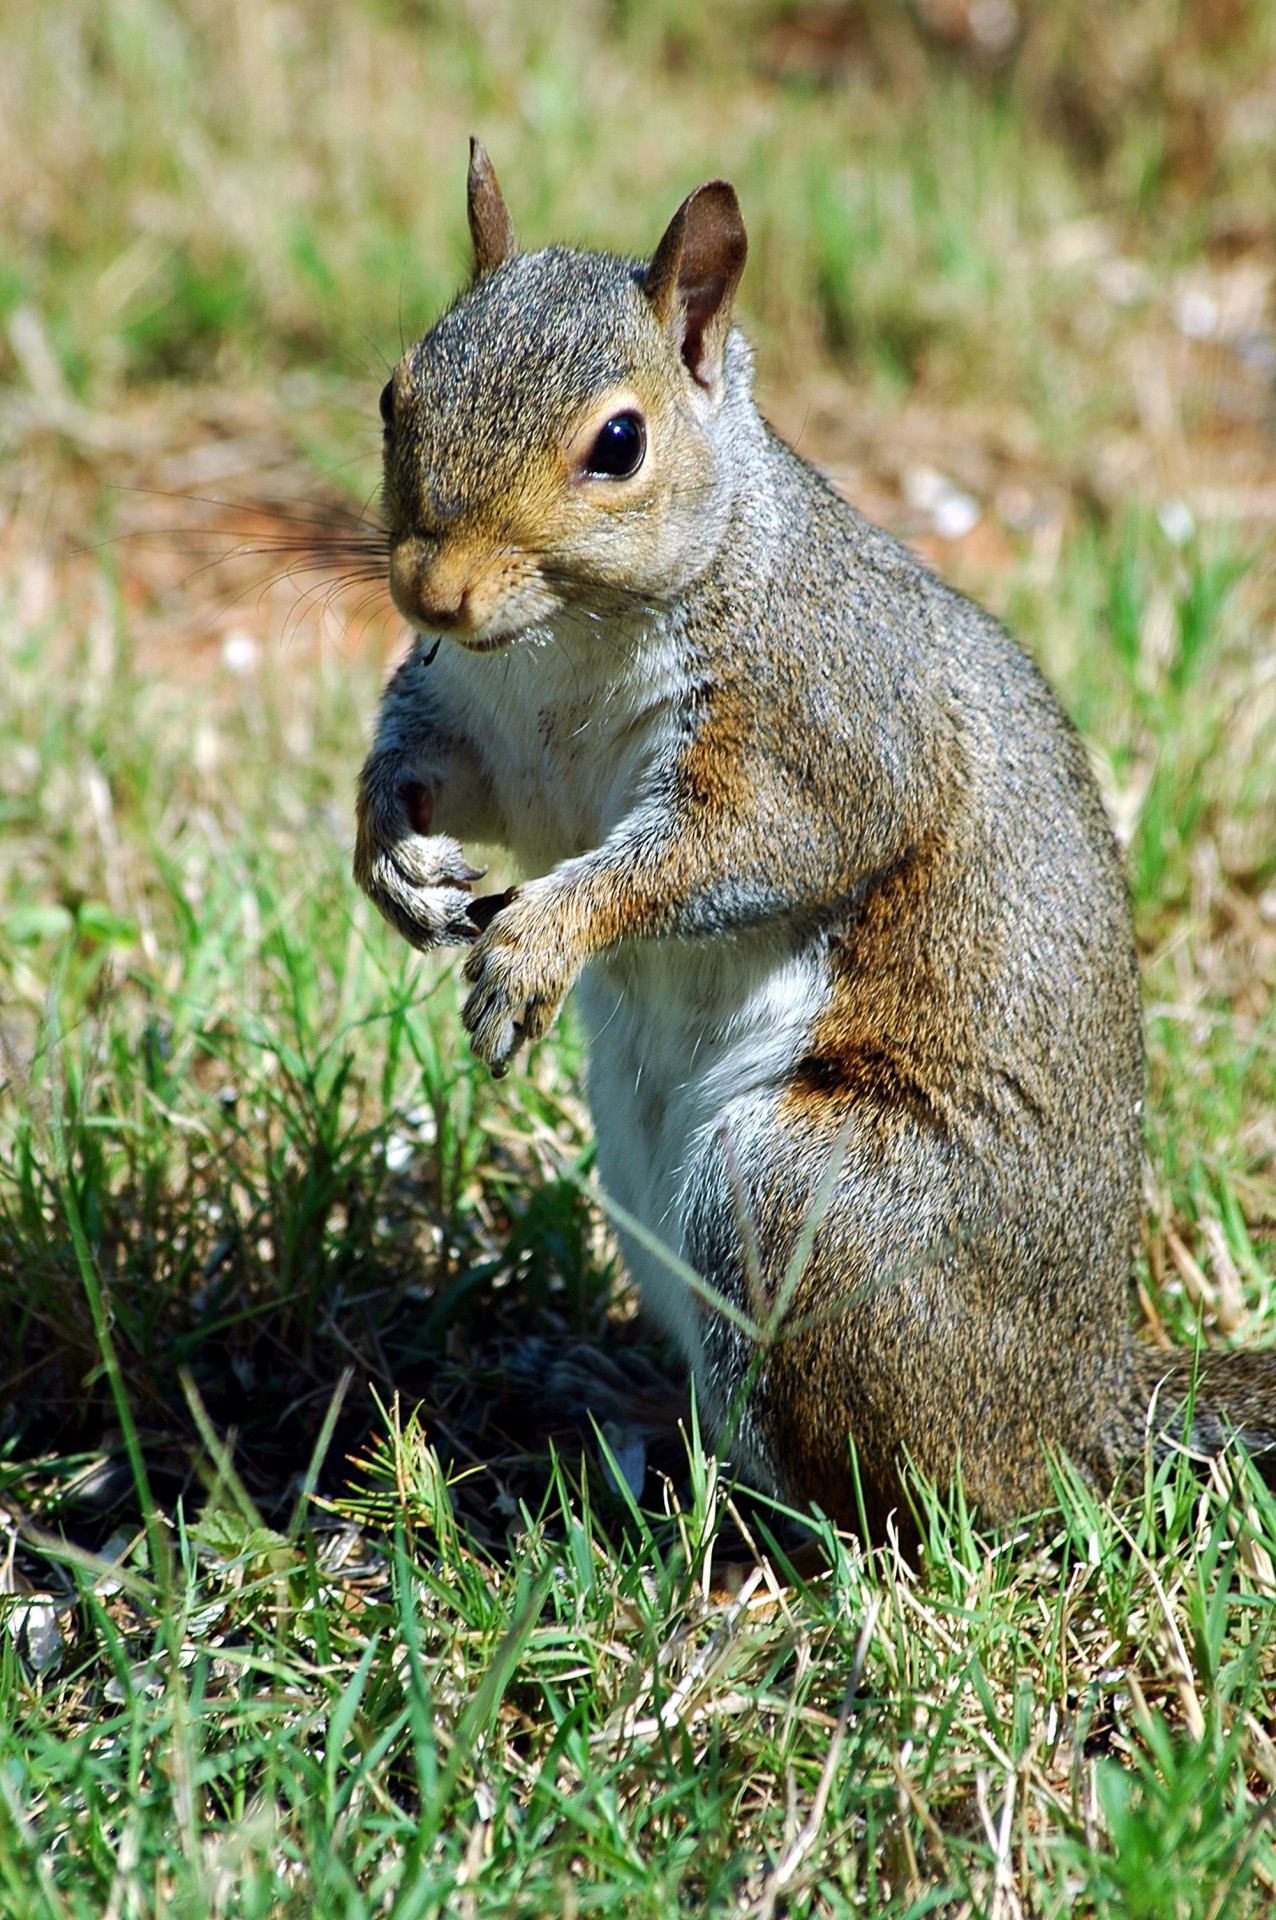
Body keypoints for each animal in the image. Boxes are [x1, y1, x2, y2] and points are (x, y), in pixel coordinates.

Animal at [353, 139, 1274, 1543]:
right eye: (395, 393)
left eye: (618, 443)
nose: (431, 593)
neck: (565, 643)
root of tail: (1079, 1409)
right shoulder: (494, 735)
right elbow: (439, 783)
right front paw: (391, 862)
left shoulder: (823, 726)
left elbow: (729, 851)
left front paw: (538, 944)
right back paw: (619, 1405)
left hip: (805, 1198)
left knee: (889, 1499)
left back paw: (724, 1532)